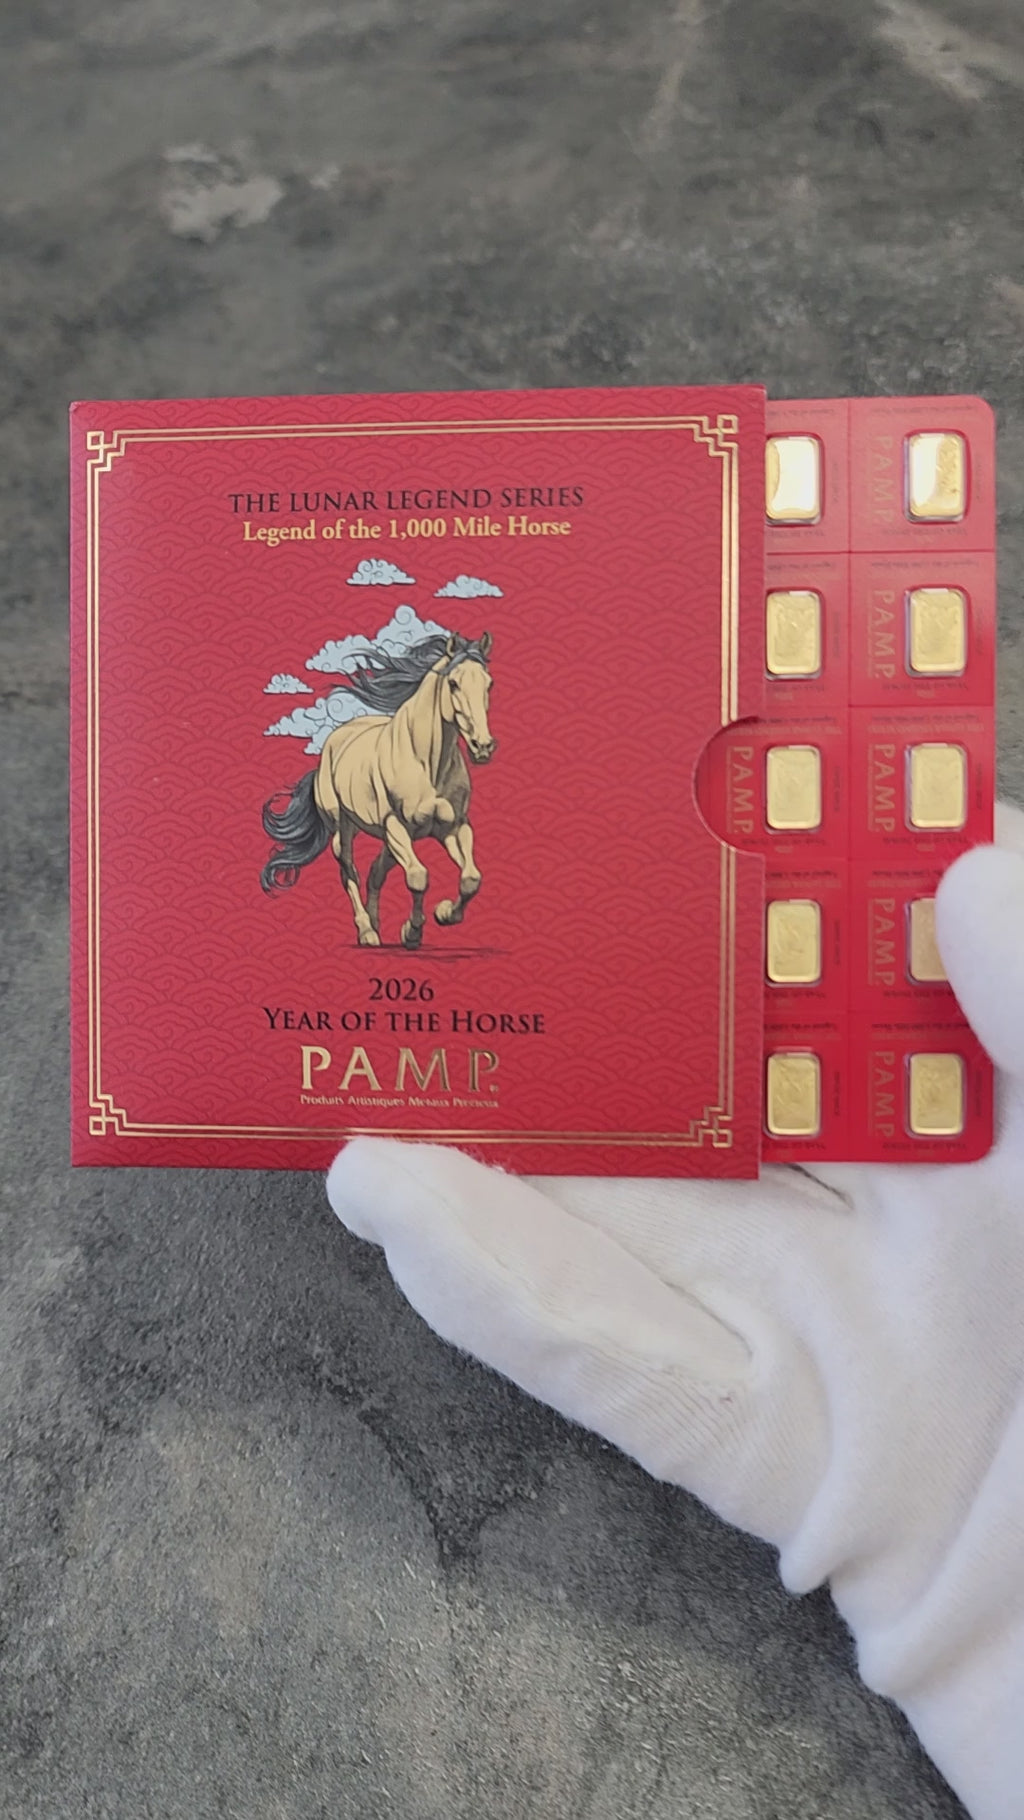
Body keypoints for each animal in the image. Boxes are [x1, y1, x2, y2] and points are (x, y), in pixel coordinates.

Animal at [260, 631, 495, 948]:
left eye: (488, 683)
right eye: (454, 683)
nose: (483, 746)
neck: (427, 765)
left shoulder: (453, 827)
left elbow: (471, 878)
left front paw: (444, 914)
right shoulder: (395, 825)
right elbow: (418, 877)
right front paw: (413, 931)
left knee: (375, 872)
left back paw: (375, 925)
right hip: (343, 828)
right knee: (350, 871)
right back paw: (367, 932)